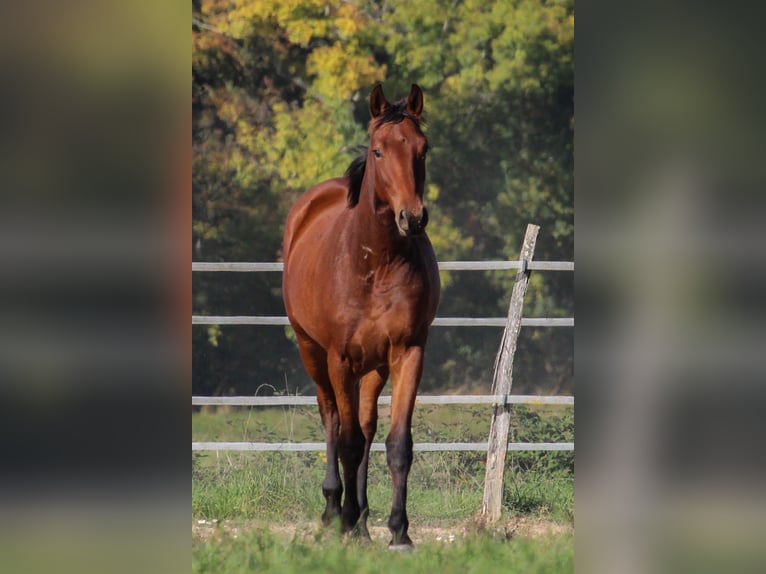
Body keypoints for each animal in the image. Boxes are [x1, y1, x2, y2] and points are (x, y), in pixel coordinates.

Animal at [282, 84, 440, 547]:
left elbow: (397, 443)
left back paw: (365, 522)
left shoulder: (408, 353)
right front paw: (345, 518)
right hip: (314, 353)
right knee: (334, 419)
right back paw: (336, 510)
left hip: (373, 367)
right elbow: (348, 440)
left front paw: (399, 531)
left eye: (423, 149)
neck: (376, 261)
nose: (413, 217)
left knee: (367, 427)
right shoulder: (340, 357)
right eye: (378, 150)